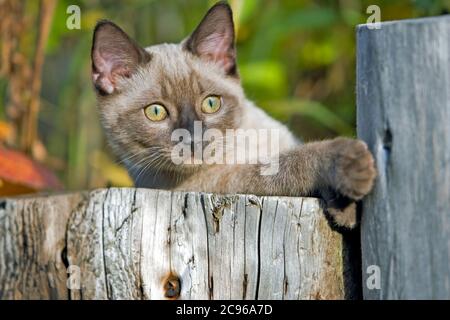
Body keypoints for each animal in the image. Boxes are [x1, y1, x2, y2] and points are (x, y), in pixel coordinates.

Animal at [89, 1, 374, 229]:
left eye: (211, 104)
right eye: (156, 112)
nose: (193, 139)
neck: (240, 146)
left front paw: (345, 210)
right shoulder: (213, 182)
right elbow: (291, 163)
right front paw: (351, 169)